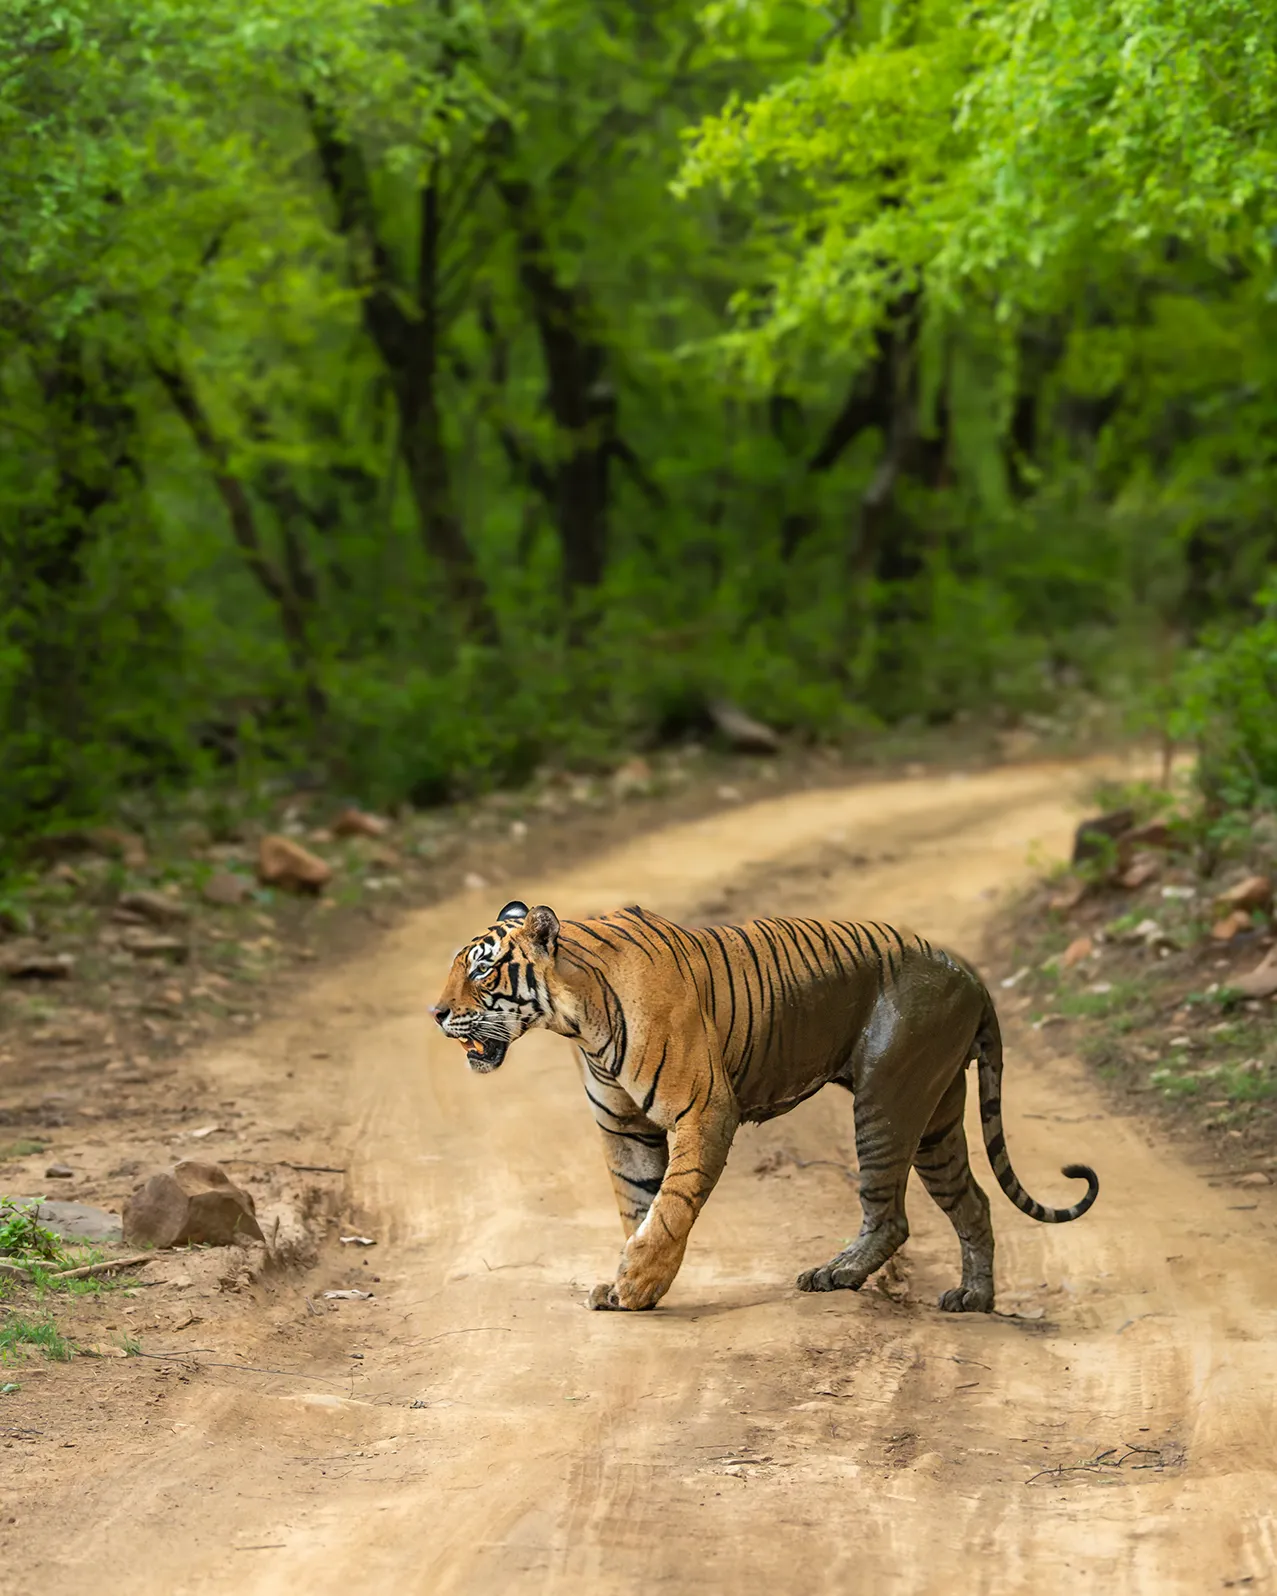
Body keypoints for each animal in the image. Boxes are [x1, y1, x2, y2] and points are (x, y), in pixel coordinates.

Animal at [432, 900, 1098, 1314]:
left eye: (483, 971)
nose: (436, 1014)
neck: (574, 1018)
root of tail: (972, 975)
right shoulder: (623, 1127)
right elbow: (637, 1204)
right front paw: (631, 1288)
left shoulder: (703, 1112)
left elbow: (669, 1207)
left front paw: (638, 1282)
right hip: (935, 1115)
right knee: (974, 1202)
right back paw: (974, 1300)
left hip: (887, 1097)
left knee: (891, 1214)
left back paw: (834, 1275)